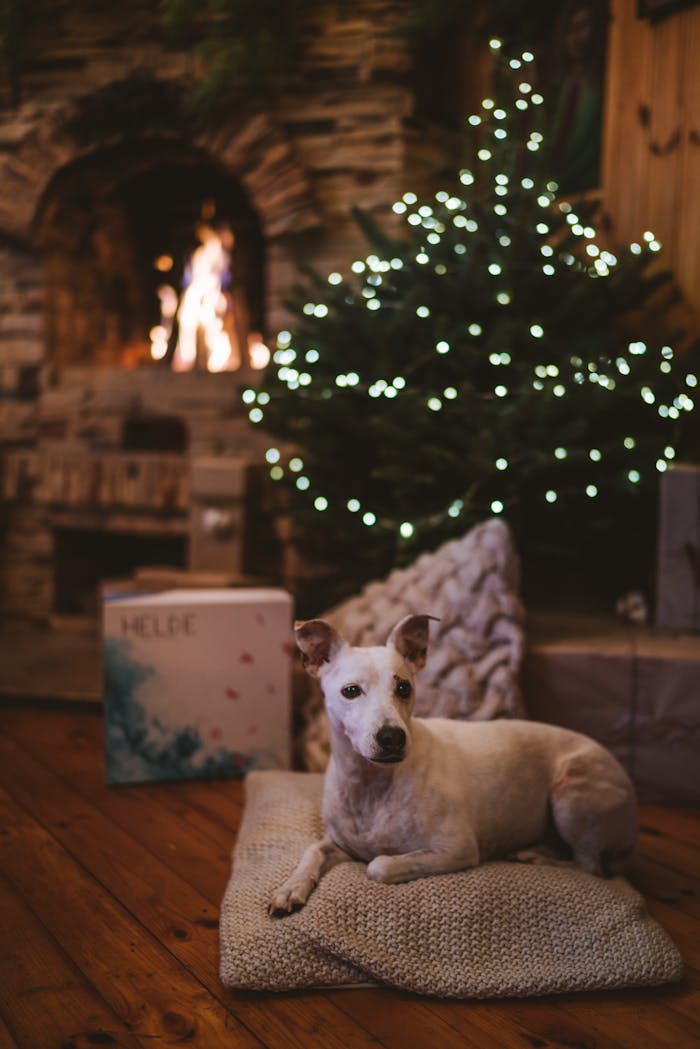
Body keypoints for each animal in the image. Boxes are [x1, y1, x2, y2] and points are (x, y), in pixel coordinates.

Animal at [270, 616, 642, 914]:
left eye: (403, 687)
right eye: (350, 691)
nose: (392, 737)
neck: (371, 785)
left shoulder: (456, 849)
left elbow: (379, 865)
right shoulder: (339, 844)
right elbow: (312, 852)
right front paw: (290, 888)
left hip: (571, 794)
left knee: (590, 867)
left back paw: (538, 857)